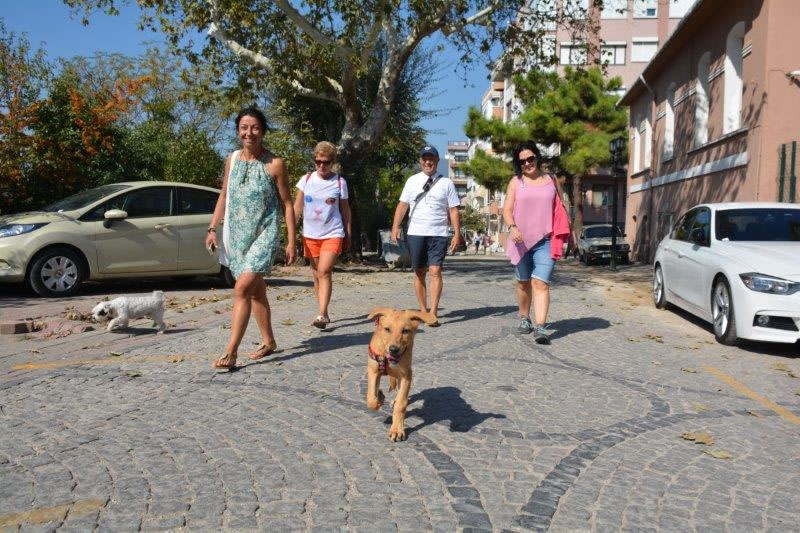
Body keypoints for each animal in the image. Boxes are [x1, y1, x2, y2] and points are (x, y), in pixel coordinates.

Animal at [368, 308, 438, 440]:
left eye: (405, 331)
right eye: (387, 329)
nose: (393, 349)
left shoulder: (406, 376)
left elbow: (401, 404)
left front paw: (396, 430)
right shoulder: (373, 371)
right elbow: (371, 399)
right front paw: (379, 398)